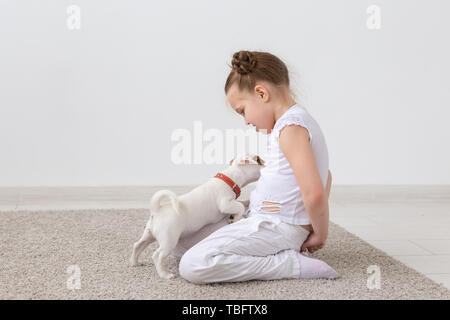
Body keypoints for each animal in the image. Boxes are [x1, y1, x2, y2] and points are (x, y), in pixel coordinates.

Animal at [129, 154, 264, 278]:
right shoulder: (225, 204)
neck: (230, 178)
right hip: (168, 240)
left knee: (137, 245)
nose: (266, 164)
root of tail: (157, 211)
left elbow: (241, 203)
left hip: (149, 235)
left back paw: (135, 263)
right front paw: (235, 218)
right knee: (157, 256)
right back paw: (165, 275)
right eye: (259, 160)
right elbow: (239, 206)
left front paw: (246, 203)